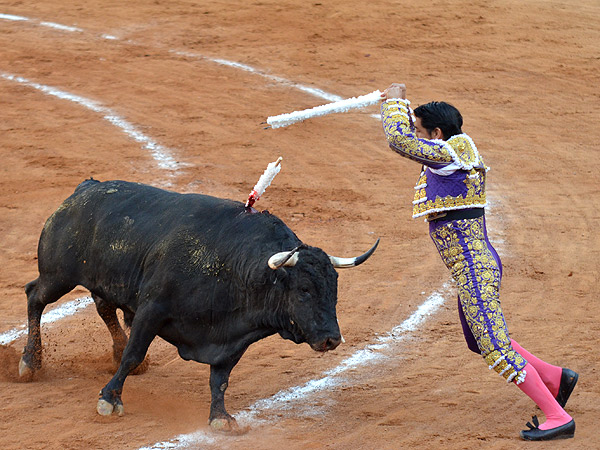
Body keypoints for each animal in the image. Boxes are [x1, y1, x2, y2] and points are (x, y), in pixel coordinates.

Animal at [19, 178, 380, 430]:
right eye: (304, 289)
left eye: (334, 289)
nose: (332, 339)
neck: (234, 265)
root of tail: (84, 189)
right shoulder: (152, 310)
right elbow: (134, 354)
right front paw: (109, 400)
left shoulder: (232, 337)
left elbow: (220, 379)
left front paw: (220, 418)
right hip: (58, 275)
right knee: (35, 296)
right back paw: (29, 363)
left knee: (103, 306)